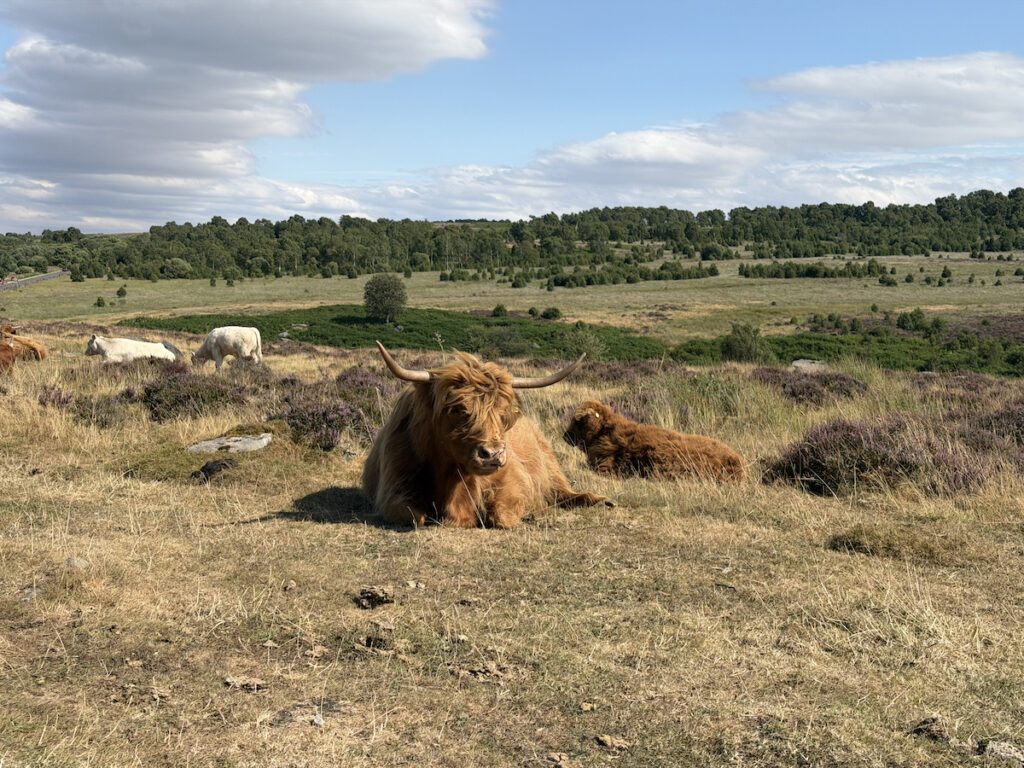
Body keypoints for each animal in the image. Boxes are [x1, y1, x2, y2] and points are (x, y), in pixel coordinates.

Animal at [361, 342, 614, 528]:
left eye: (502, 413)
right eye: (457, 409)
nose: (492, 454)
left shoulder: (514, 478)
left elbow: (503, 515)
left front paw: (530, 512)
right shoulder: (392, 488)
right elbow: (415, 516)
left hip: (550, 463)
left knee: (564, 492)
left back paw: (601, 501)